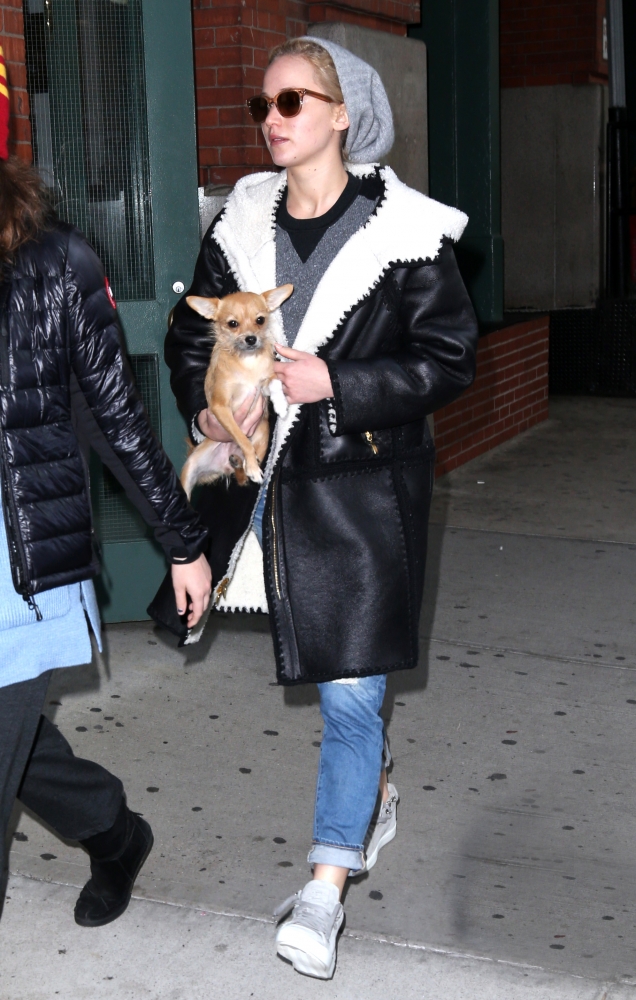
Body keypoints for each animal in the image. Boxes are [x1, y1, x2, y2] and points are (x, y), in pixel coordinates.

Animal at [180, 285, 293, 498]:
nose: (251, 339)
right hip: (190, 470)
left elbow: (274, 381)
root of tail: (224, 466)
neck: (247, 361)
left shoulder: (262, 385)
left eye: (260, 320)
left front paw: (281, 404)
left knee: (241, 476)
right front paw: (252, 466)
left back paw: (239, 463)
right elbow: (241, 438)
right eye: (233, 324)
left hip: (263, 436)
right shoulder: (220, 407)